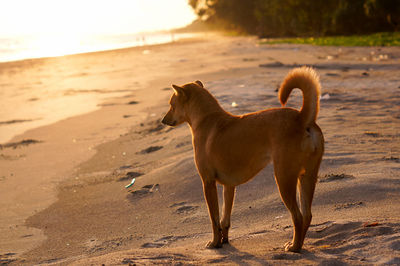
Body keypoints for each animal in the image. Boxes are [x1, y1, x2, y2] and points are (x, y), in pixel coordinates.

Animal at [161, 67, 324, 254]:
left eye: (171, 105)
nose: (162, 121)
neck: (206, 118)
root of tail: (301, 118)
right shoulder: (229, 185)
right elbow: (224, 219)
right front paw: (224, 241)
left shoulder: (208, 182)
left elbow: (214, 219)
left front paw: (215, 243)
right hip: (308, 176)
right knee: (307, 215)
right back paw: (300, 244)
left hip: (284, 178)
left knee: (297, 216)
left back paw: (294, 247)